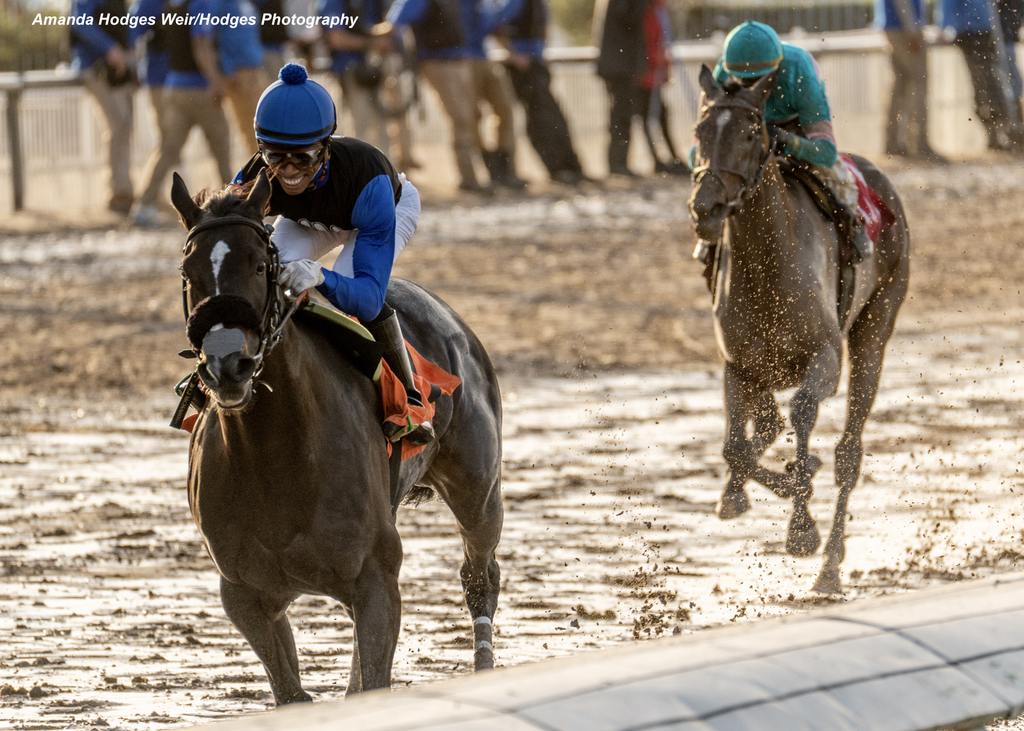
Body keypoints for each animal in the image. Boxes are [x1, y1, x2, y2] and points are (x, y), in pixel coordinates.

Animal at [168, 170, 503, 700]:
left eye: (260, 265)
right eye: (189, 272)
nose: (227, 365)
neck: (276, 459)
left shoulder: (376, 579)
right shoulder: (246, 594)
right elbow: (294, 693)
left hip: (478, 488)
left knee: (479, 575)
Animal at [688, 67, 913, 593]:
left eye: (751, 133)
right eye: (700, 131)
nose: (705, 208)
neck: (769, 263)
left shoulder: (824, 359)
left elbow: (804, 413)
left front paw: (802, 527)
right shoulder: (738, 364)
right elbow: (736, 448)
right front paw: (744, 492)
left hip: (875, 327)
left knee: (849, 453)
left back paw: (829, 565)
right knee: (766, 424)